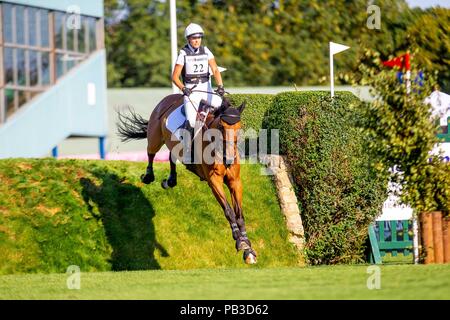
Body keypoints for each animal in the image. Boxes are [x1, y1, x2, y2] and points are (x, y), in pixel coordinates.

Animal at [116, 93, 256, 264]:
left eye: (239, 127)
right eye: (222, 127)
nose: (228, 159)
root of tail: (170, 98)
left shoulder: (235, 182)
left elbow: (239, 214)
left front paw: (247, 247)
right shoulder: (214, 181)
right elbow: (229, 211)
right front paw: (238, 239)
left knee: (171, 155)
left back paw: (170, 180)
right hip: (156, 136)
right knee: (151, 151)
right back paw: (149, 176)